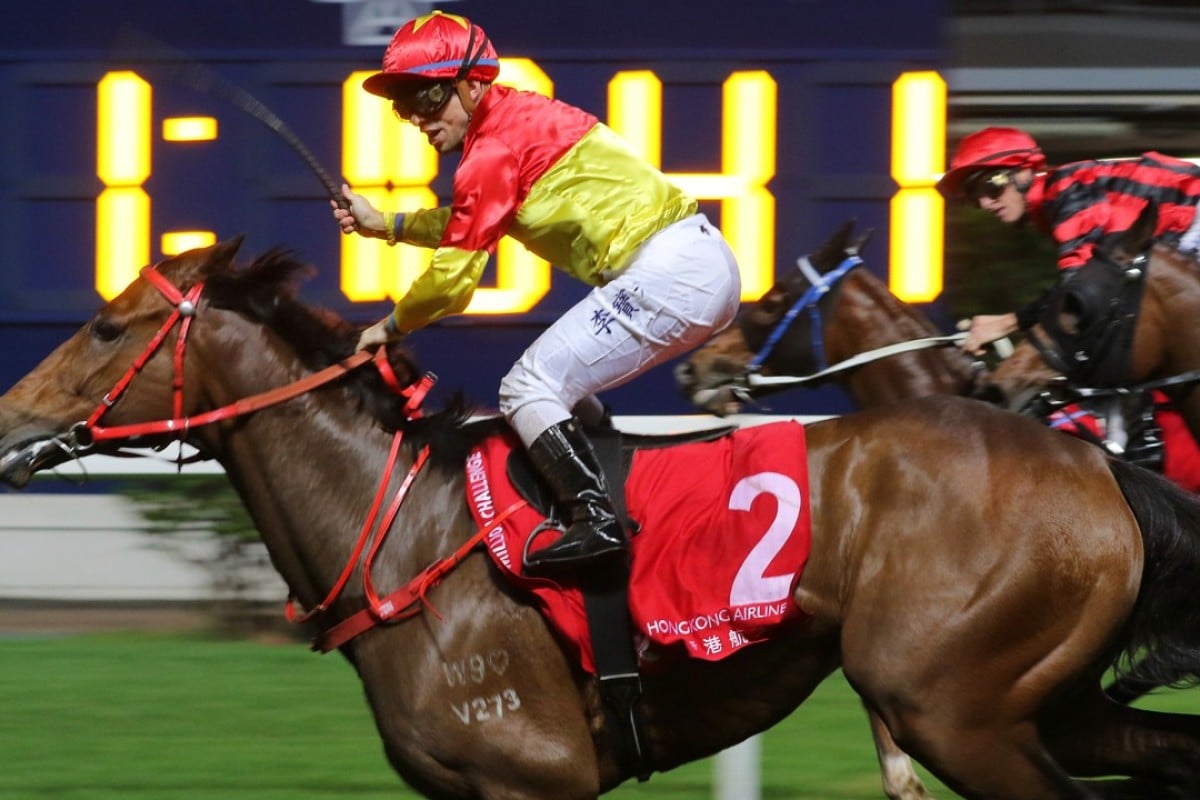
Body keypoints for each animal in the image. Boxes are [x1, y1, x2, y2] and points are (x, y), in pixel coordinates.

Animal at [2, 241, 1200, 796]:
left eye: (109, 326)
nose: (9, 415)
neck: (404, 531)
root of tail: (1094, 464)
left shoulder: (533, 774)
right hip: (1041, 699)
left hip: (952, 707)